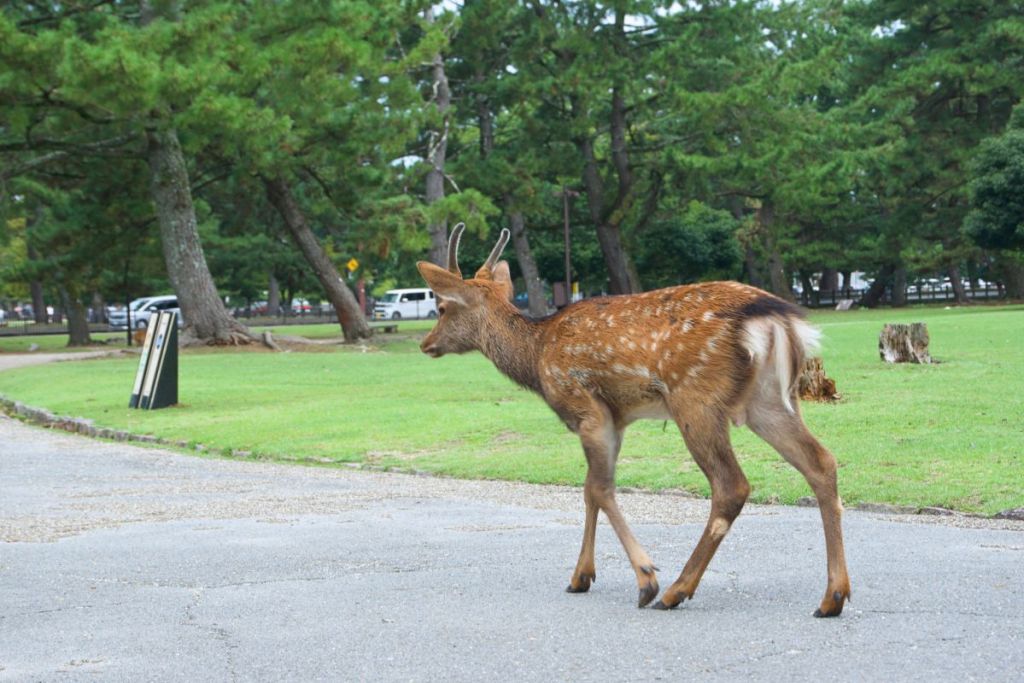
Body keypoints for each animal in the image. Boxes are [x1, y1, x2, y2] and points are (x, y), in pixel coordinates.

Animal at [416, 223, 851, 616]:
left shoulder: (585, 407)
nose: (425, 343)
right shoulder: (618, 418)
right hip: (771, 400)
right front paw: (581, 577)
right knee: (821, 462)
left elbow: (601, 489)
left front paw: (644, 578)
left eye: (443, 307)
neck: (536, 356)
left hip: (696, 398)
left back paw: (675, 590)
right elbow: (589, 490)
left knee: (732, 485)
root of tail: (779, 320)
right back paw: (833, 597)